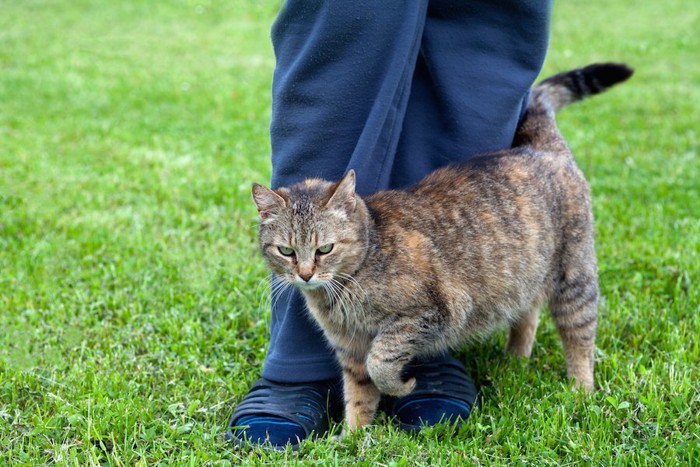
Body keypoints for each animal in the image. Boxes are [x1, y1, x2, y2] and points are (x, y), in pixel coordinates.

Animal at [253, 64, 636, 434]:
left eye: (325, 249)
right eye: (286, 251)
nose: (305, 274)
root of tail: (542, 147)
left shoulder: (433, 312)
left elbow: (381, 361)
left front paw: (401, 386)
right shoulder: (350, 347)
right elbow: (359, 394)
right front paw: (353, 438)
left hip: (575, 278)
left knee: (580, 337)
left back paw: (580, 390)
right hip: (524, 275)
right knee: (528, 313)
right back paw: (515, 359)